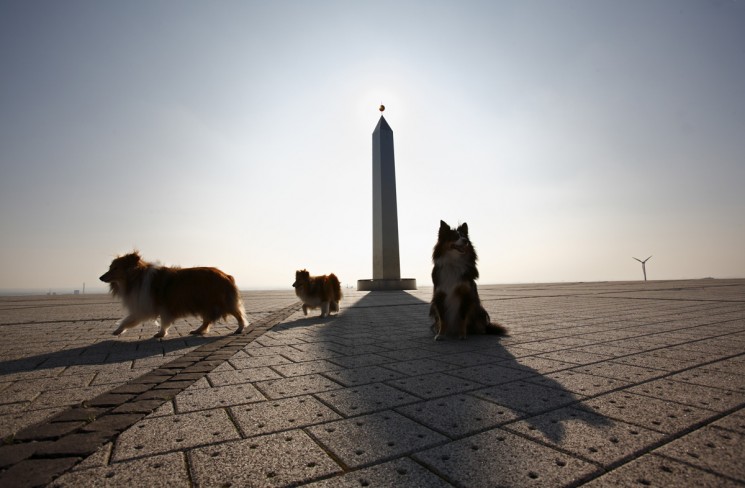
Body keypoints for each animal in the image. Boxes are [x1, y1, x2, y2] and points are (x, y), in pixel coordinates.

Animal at [97, 252, 250, 340]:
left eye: (115, 268)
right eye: (110, 267)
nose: (100, 277)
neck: (136, 277)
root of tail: (226, 275)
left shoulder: (152, 306)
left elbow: (159, 321)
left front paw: (160, 333)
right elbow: (130, 319)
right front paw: (117, 331)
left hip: (220, 302)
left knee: (238, 313)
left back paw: (240, 328)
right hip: (204, 303)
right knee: (206, 321)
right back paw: (197, 330)